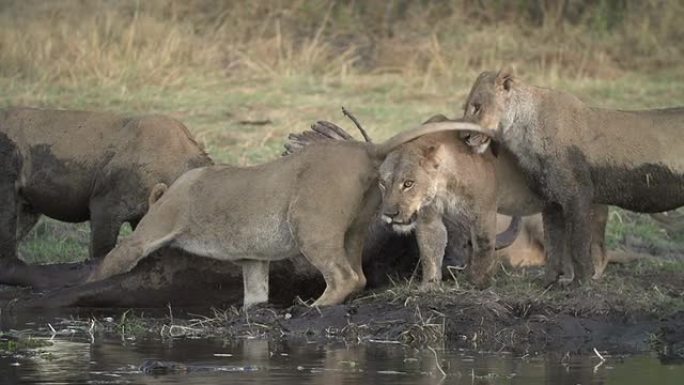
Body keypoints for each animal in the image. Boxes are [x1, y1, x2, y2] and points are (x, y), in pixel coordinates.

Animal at [460, 70, 684, 282]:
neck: (522, 131)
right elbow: (554, 244)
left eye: (477, 107)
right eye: (466, 107)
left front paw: (580, 284)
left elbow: (577, 244)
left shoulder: (578, 194)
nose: (464, 137)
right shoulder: (551, 199)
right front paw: (550, 282)